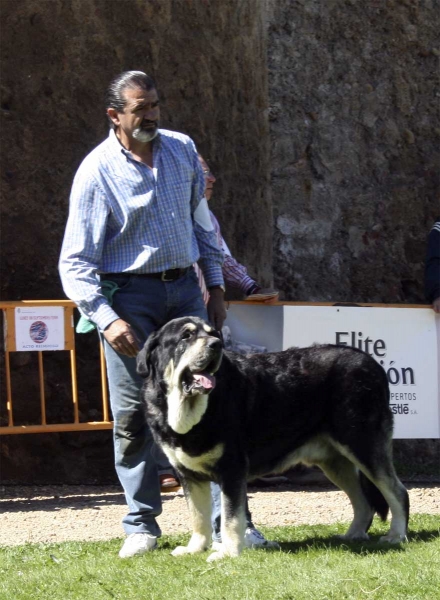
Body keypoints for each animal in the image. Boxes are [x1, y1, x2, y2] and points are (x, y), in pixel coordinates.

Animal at [138, 316, 410, 560]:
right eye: (186, 336)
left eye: (213, 333)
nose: (216, 345)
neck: (189, 409)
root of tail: (372, 363)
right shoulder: (188, 475)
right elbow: (198, 517)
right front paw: (195, 549)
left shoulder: (232, 470)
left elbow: (230, 518)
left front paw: (229, 553)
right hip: (335, 462)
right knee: (363, 502)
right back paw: (353, 535)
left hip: (363, 445)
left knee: (397, 492)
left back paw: (396, 535)